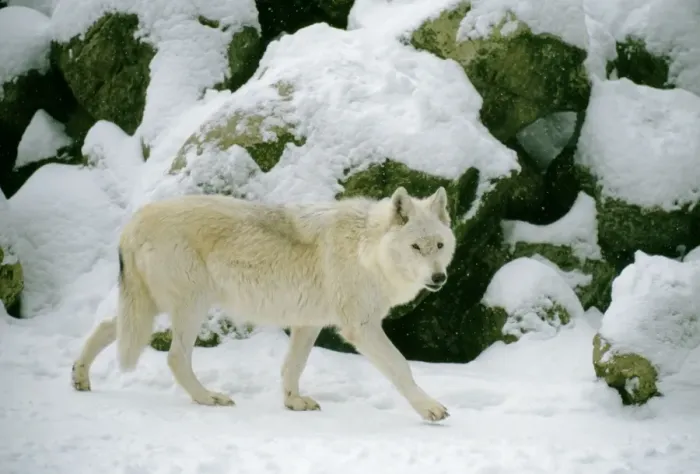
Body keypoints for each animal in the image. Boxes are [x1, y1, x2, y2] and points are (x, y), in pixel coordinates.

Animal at [71, 186, 456, 422]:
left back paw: (80, 377)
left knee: (105, 326)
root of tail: (133, 222)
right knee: (175, 357)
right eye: (416, 247)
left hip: (150, 309)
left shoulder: (309, 323)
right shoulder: (361, 328)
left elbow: (292, 367)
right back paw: (208, 398)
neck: (366, 249)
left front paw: (293, 402)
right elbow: (401, 367)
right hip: (189, 309)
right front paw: (430, 409)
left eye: (438, 245)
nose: (439, 278)